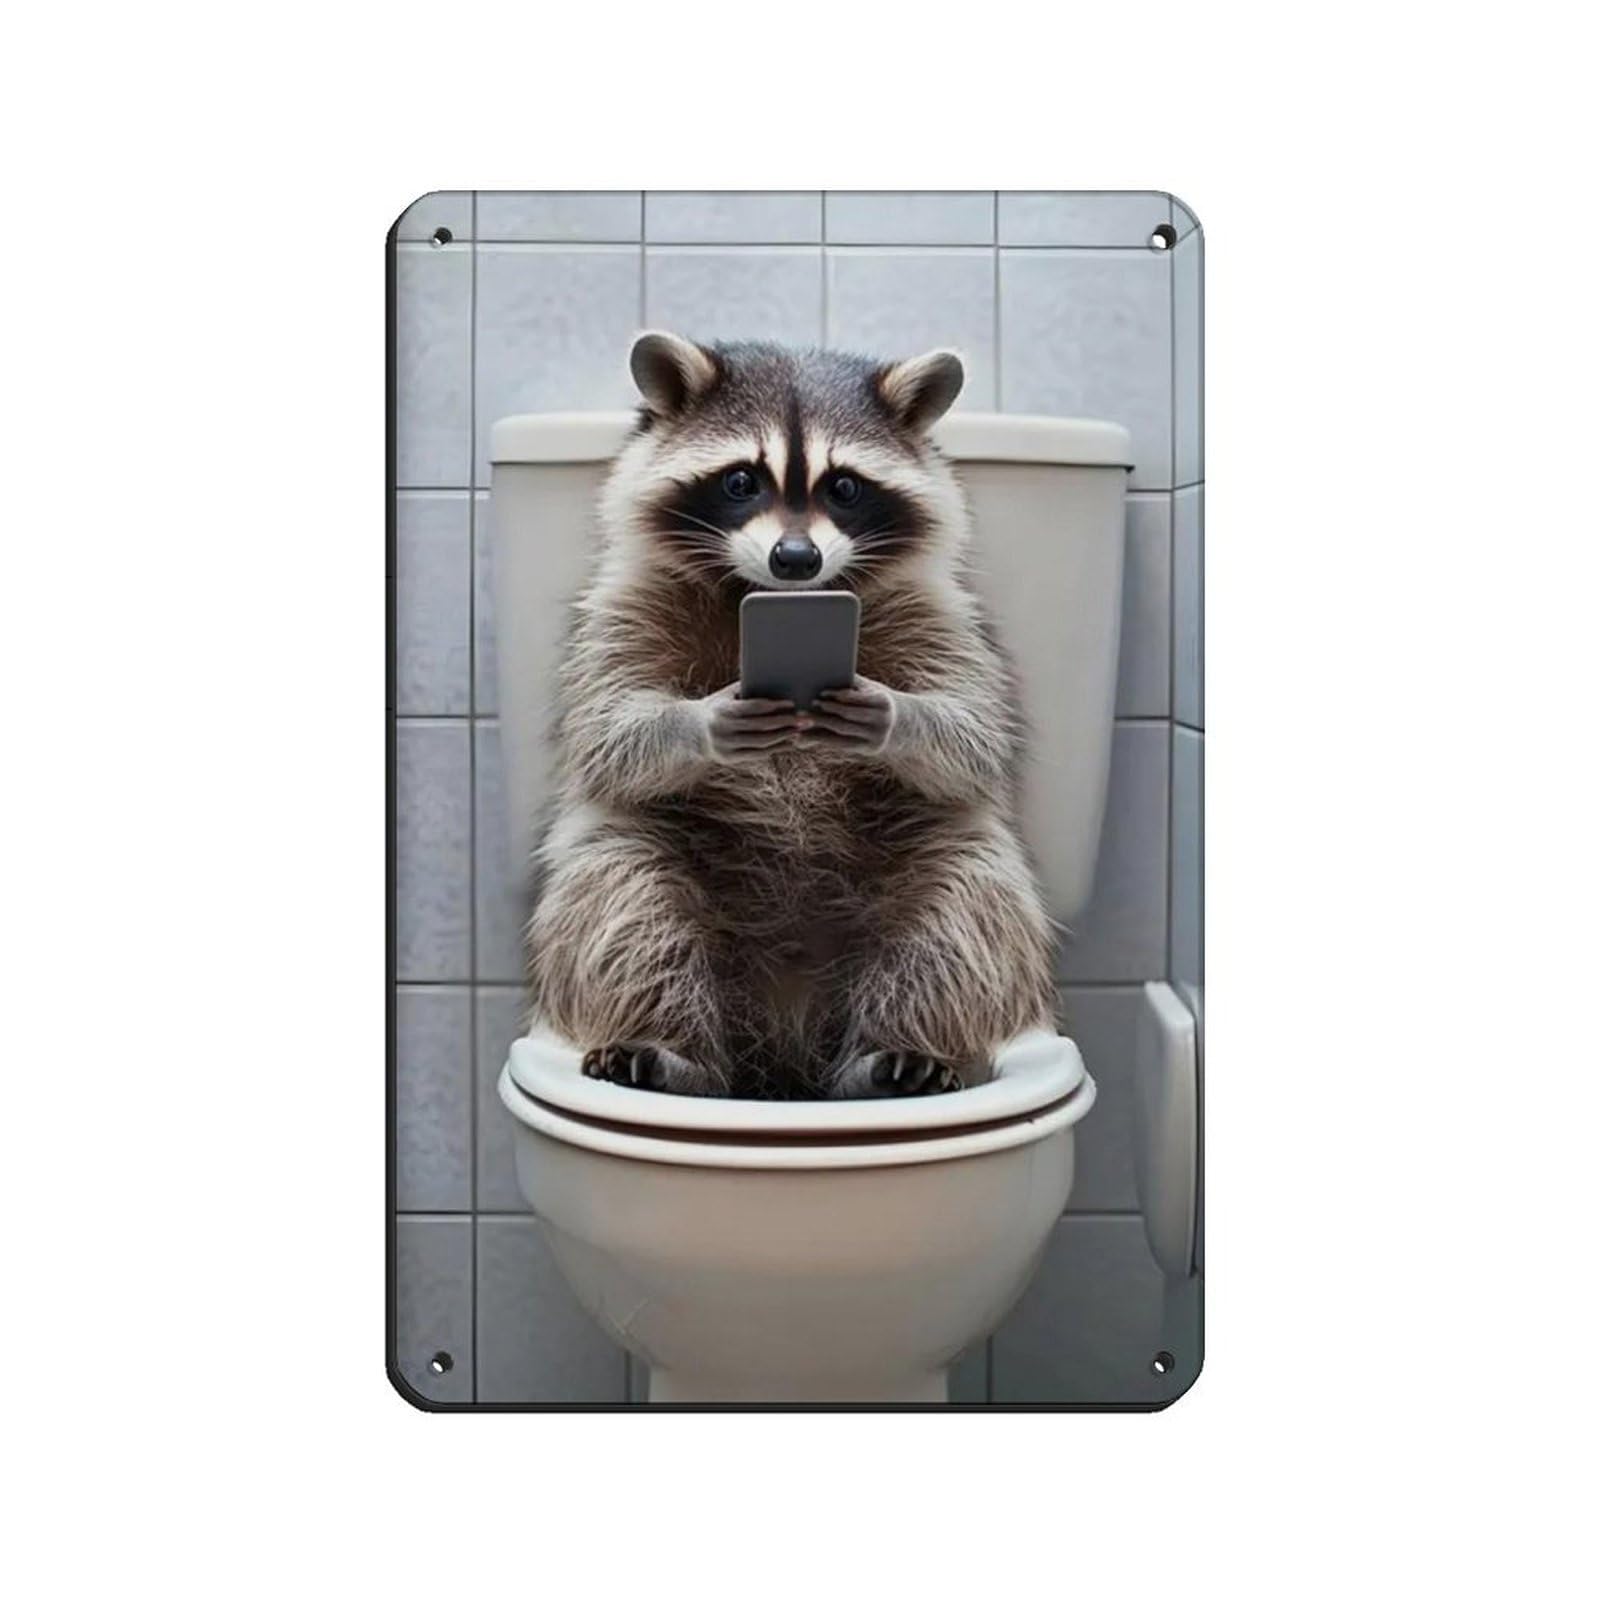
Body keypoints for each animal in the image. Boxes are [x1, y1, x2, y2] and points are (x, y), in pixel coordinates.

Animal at [527, 332, 1058, 1099]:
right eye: (741, 481)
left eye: (845, 487)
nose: (796, 559)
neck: (770, 597)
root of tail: (786, 1040)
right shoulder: (623, 603)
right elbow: (607, 727)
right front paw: (702, 724)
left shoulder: (938, 610)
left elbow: (973, 730)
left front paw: (893, 715)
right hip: (664, 876)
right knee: (621, 902)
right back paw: (669, 1050)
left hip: (914, 874)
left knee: (963, 910)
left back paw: (895, 1052)